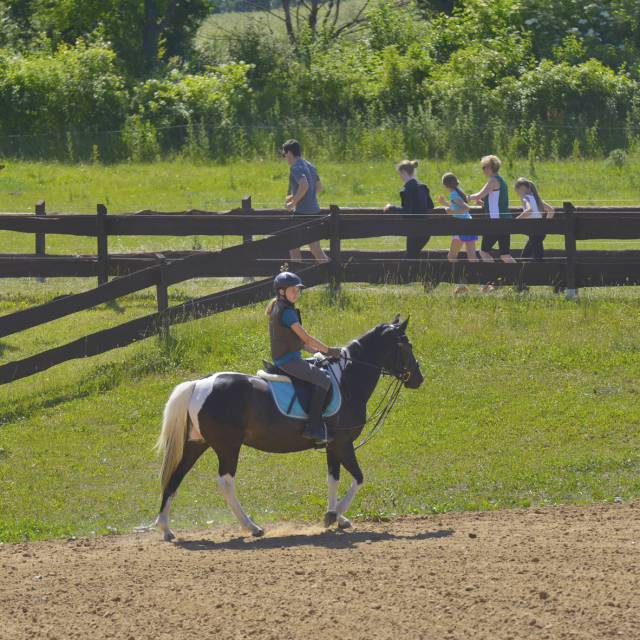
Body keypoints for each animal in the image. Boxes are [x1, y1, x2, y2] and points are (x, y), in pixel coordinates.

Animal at [155, 316, 422, 540]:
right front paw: (334, 516)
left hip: (197, 444)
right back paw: (252, 527)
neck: (347, 381)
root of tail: (200, 383)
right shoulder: (343, 444)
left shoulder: (332, 446)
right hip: (228, 447)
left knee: (175, 477)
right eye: (405, 346)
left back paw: (166, 529)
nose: (419, 379)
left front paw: (337, 517)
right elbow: (358, 478)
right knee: (225, 483)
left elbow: (333, 479)